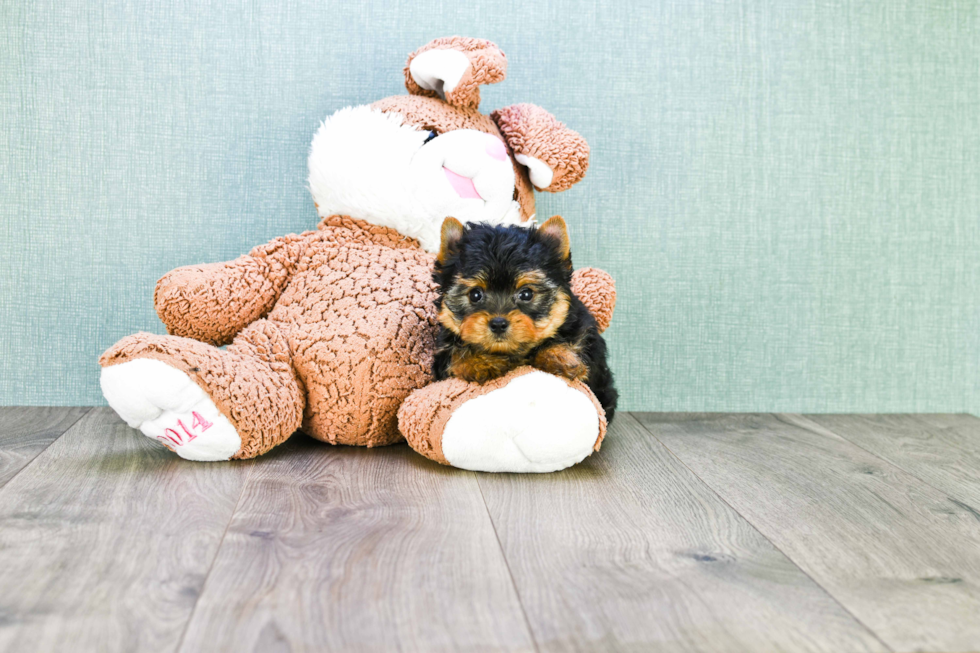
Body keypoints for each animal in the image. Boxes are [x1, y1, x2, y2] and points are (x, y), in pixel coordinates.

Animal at [432, 215, 616, 422]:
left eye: (526, 294)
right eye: (475, 294)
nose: (498, 323)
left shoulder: (585, 336)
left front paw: (559, 357)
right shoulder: (441, 354)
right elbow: (455, 354)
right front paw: (480, 362)